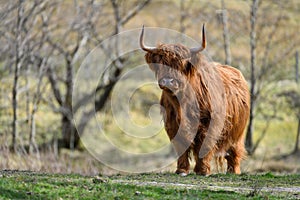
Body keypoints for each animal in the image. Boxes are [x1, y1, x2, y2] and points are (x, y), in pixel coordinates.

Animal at [141, 24, 251, 175]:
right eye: (161, 63)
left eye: (181, 64)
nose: (168, 81)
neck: (183, 104)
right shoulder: (173, 124)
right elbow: (181, 145)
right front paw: (182, 169)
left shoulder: (209, 123)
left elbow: (204, 145)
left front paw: (203, 170)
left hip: (238, 131)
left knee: (234, 151)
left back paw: (233, 171)